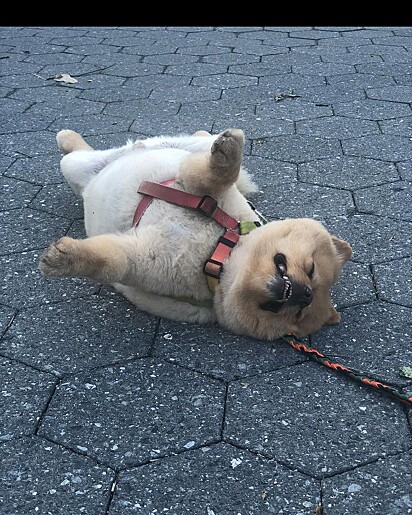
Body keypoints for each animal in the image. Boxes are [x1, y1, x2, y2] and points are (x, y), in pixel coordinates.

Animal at [40, 128, 352, 342]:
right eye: (311, 270)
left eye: (298, 314)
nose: (305, 294)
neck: (218, 250)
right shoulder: (201, 189)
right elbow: (215, 175)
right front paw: (227, 153)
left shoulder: (144, 261)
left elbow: (111, 261)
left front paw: (65, 259)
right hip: (162, 151)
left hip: (79, 171)